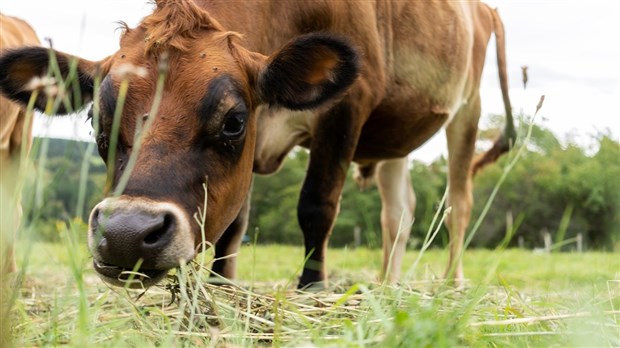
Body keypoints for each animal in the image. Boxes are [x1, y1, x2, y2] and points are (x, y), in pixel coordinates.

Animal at [0, 0, 512, 288]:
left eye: (233, 122)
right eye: (96, 118)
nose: (126, 234)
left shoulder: (348, 106)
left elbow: (317, 206)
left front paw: (312, 286)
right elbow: (236, 223)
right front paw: (221, 286)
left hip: (469, 110)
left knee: (459, 203)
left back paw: (450, 284)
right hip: (395, 145)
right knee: (399, 214)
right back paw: (387, 284)